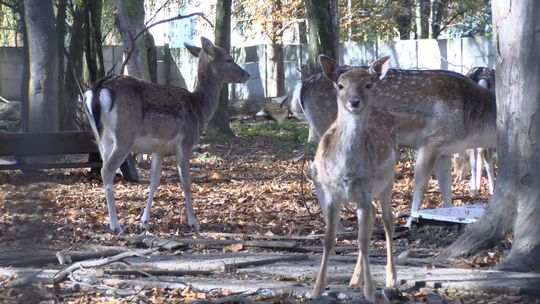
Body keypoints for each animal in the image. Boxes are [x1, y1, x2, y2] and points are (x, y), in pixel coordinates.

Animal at [83, 37, 251, 233]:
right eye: (228, 59)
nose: (246, 74)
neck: (199, 109)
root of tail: (97, 89)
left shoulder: (159, 149)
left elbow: (155, 181)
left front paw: (144, 221)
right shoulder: (185, 143)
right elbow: (186, 181)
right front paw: (194, 222)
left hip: (101, 138)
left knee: (104, 166)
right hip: (124, 135)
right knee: (107, 170)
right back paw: (115, 226)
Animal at [292, 63, 494, 227]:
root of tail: (302, 85)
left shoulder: (444, 149)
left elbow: (446, 187)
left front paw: (446, 213)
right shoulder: (430, 141)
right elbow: (420, 184)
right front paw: (411, 221)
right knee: (320, 170)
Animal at [308, 55, 396, 302]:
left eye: (368, 84)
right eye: (340, 85)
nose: (354, 102)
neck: (346, 170)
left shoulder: (365, 191)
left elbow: (363, 240)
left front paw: (371, 292)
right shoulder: (330, 193)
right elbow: (329, 239)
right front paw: (316, 289)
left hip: (387, 181)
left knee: (388, 221)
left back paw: (391, 279)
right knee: (375, 215)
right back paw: (355, 278)